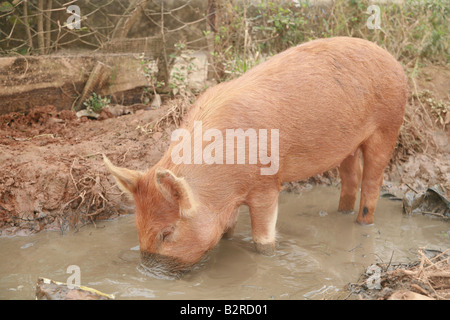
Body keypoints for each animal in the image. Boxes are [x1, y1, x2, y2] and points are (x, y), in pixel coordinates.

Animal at [105, 37, 408, 278]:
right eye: (138, 226)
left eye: (166, 233)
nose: (149, 275)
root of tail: (392, 59)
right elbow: (227, 229)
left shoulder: (267, 185)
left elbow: (263, 239)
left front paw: (267, 257)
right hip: (349, 144)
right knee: (350, 177)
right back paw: (341, 212)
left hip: (388, 125)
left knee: (372, 182)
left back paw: (362, 223)